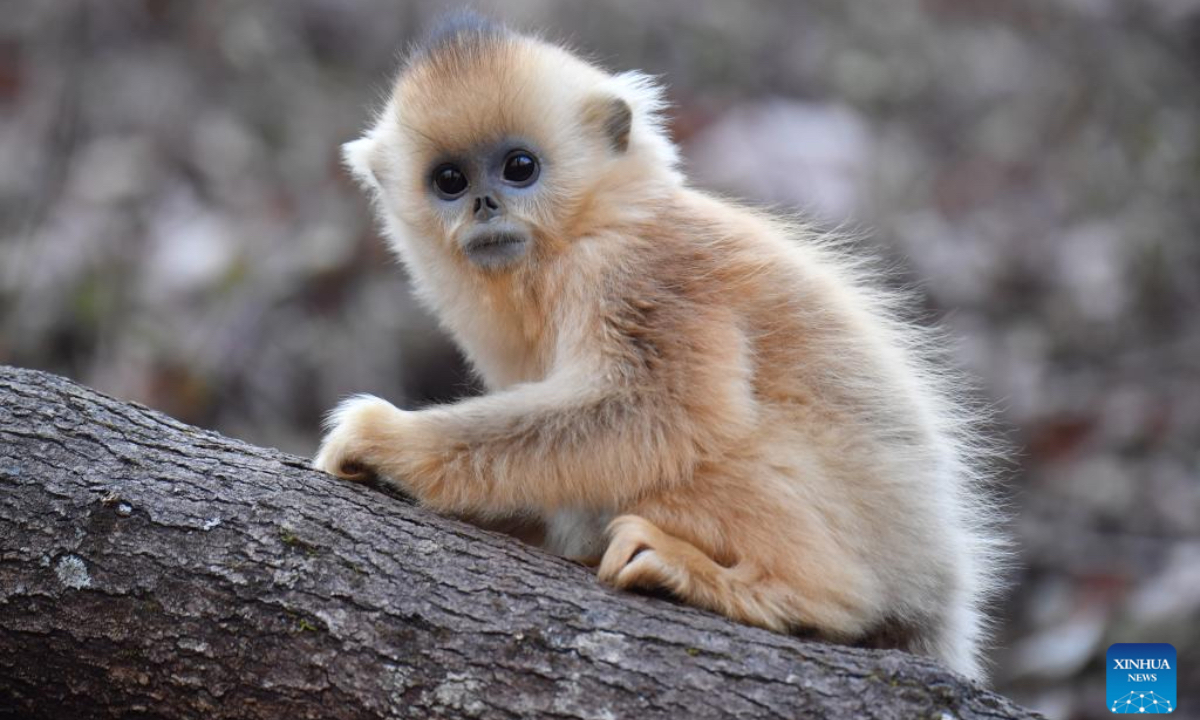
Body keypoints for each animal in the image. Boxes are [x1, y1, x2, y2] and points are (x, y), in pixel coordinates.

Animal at [314, 16, 1006, 681]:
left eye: (519, 168)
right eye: (450, 180)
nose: (484, 204)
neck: (585, 232)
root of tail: (942, 593)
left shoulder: (632, 273)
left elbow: (668, 408)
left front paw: (384, 439)